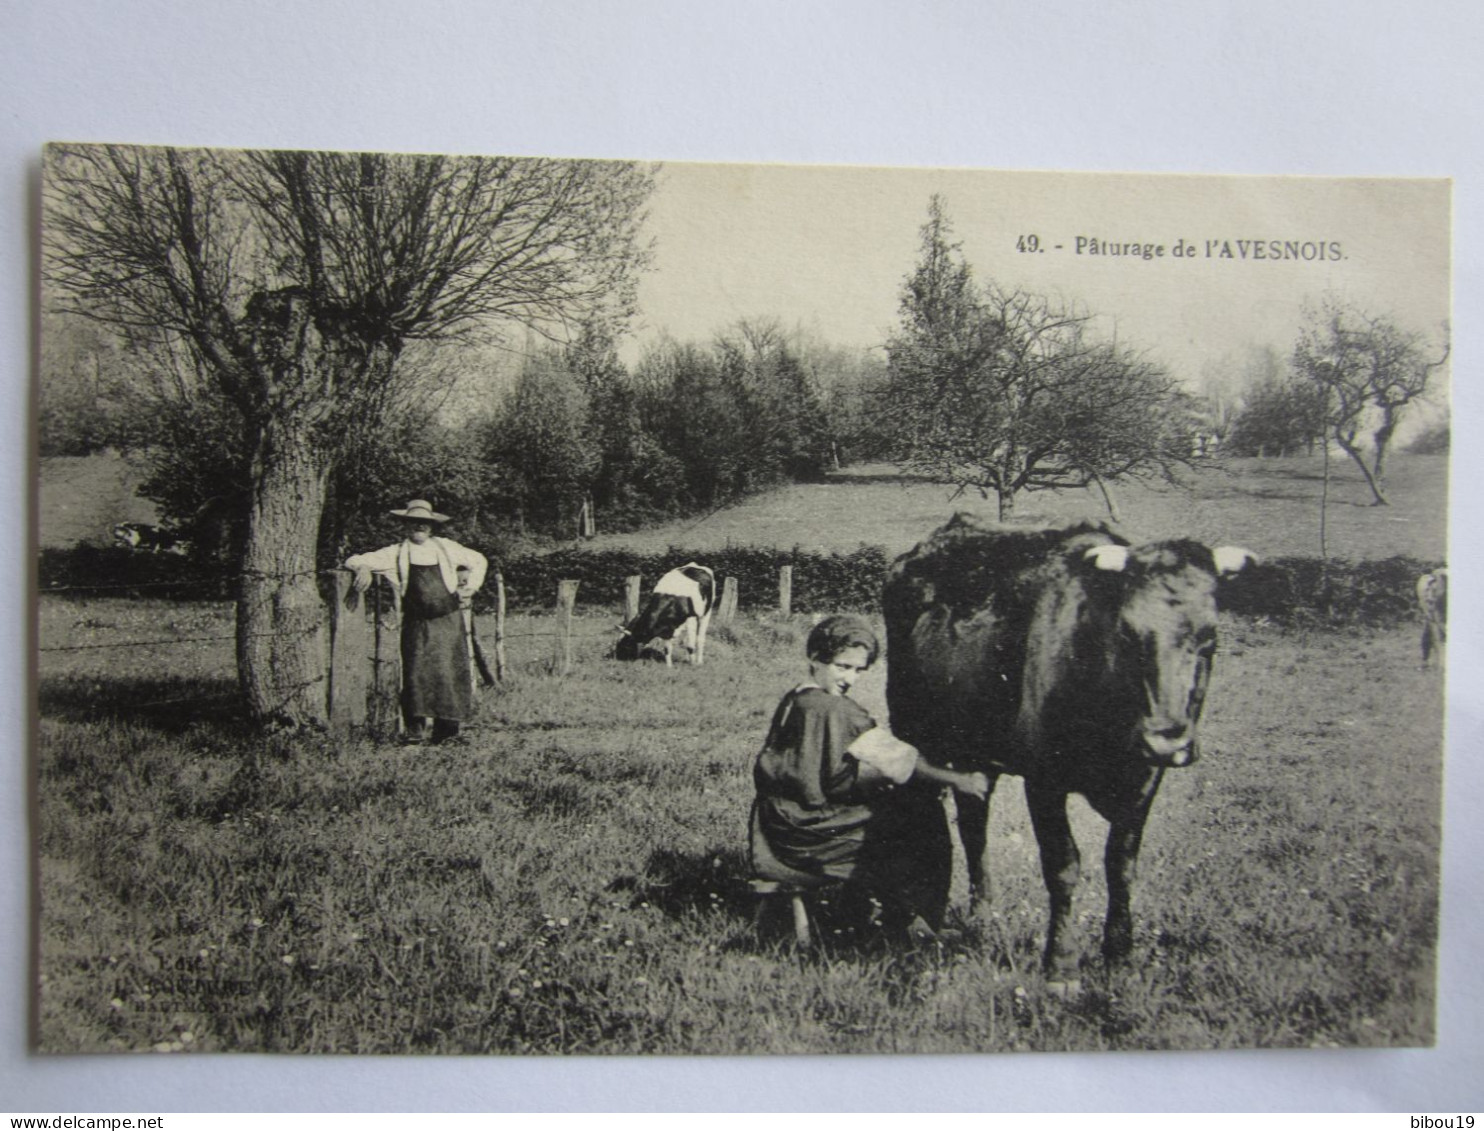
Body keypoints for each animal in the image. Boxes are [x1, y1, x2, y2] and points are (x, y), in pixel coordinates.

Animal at [878, 516, 1252, 973]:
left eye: (1210, 640)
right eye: (1126, 633)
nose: (1166, 741)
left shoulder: (1145, 778)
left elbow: (1121, 864)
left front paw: (1119, 953)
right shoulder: (1043, 780)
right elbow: (1063, 865)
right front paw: (1060, 961)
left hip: (972, 750)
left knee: (973, 825)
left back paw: (982, 913)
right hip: (910, 725)